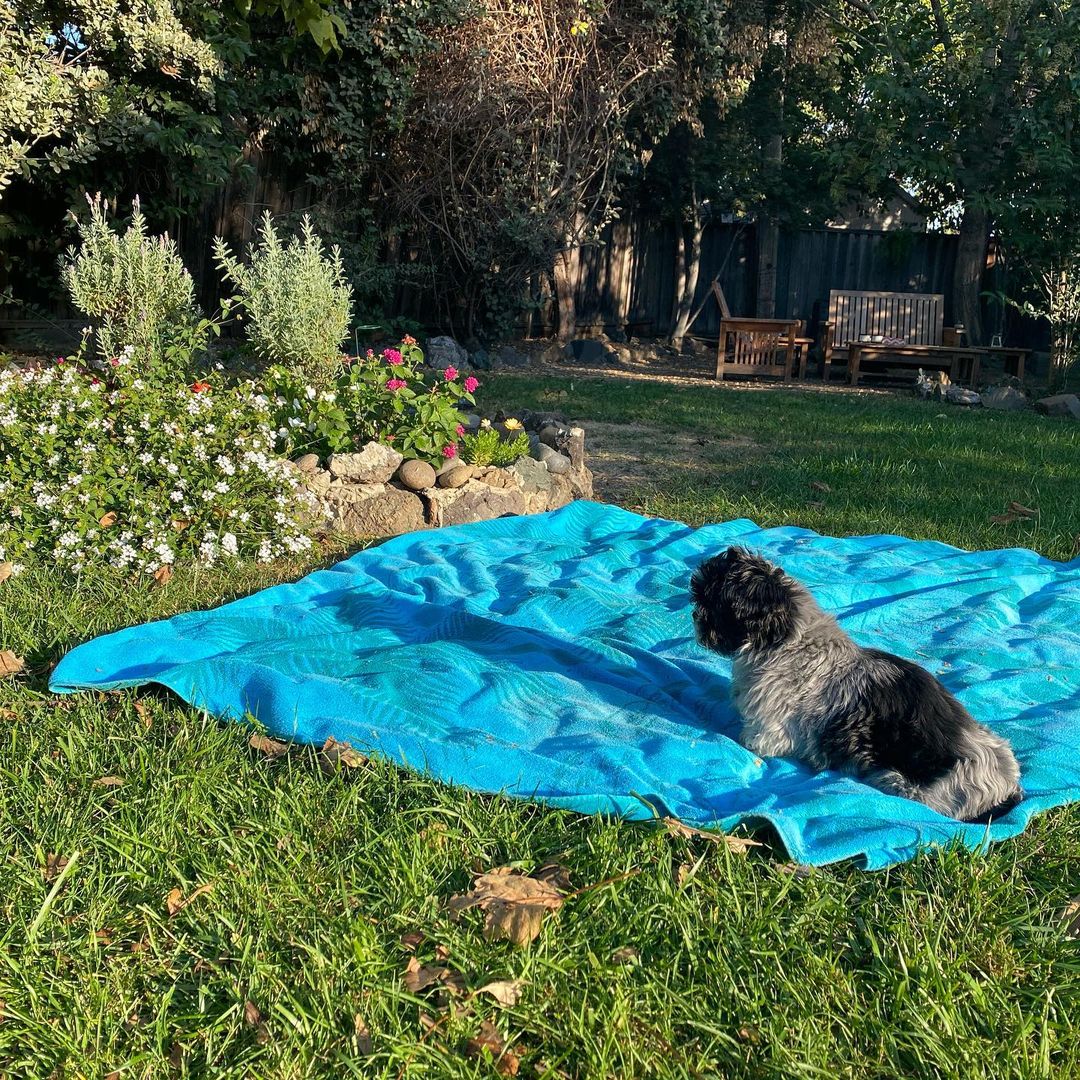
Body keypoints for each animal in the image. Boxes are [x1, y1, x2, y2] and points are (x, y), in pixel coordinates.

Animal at [691, 544, 1019, 820]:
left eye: (711, 602)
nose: (695, 614)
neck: (789, 638)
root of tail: (1005, 784)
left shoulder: (766, 734)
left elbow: (743, 736)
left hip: (917, 787)